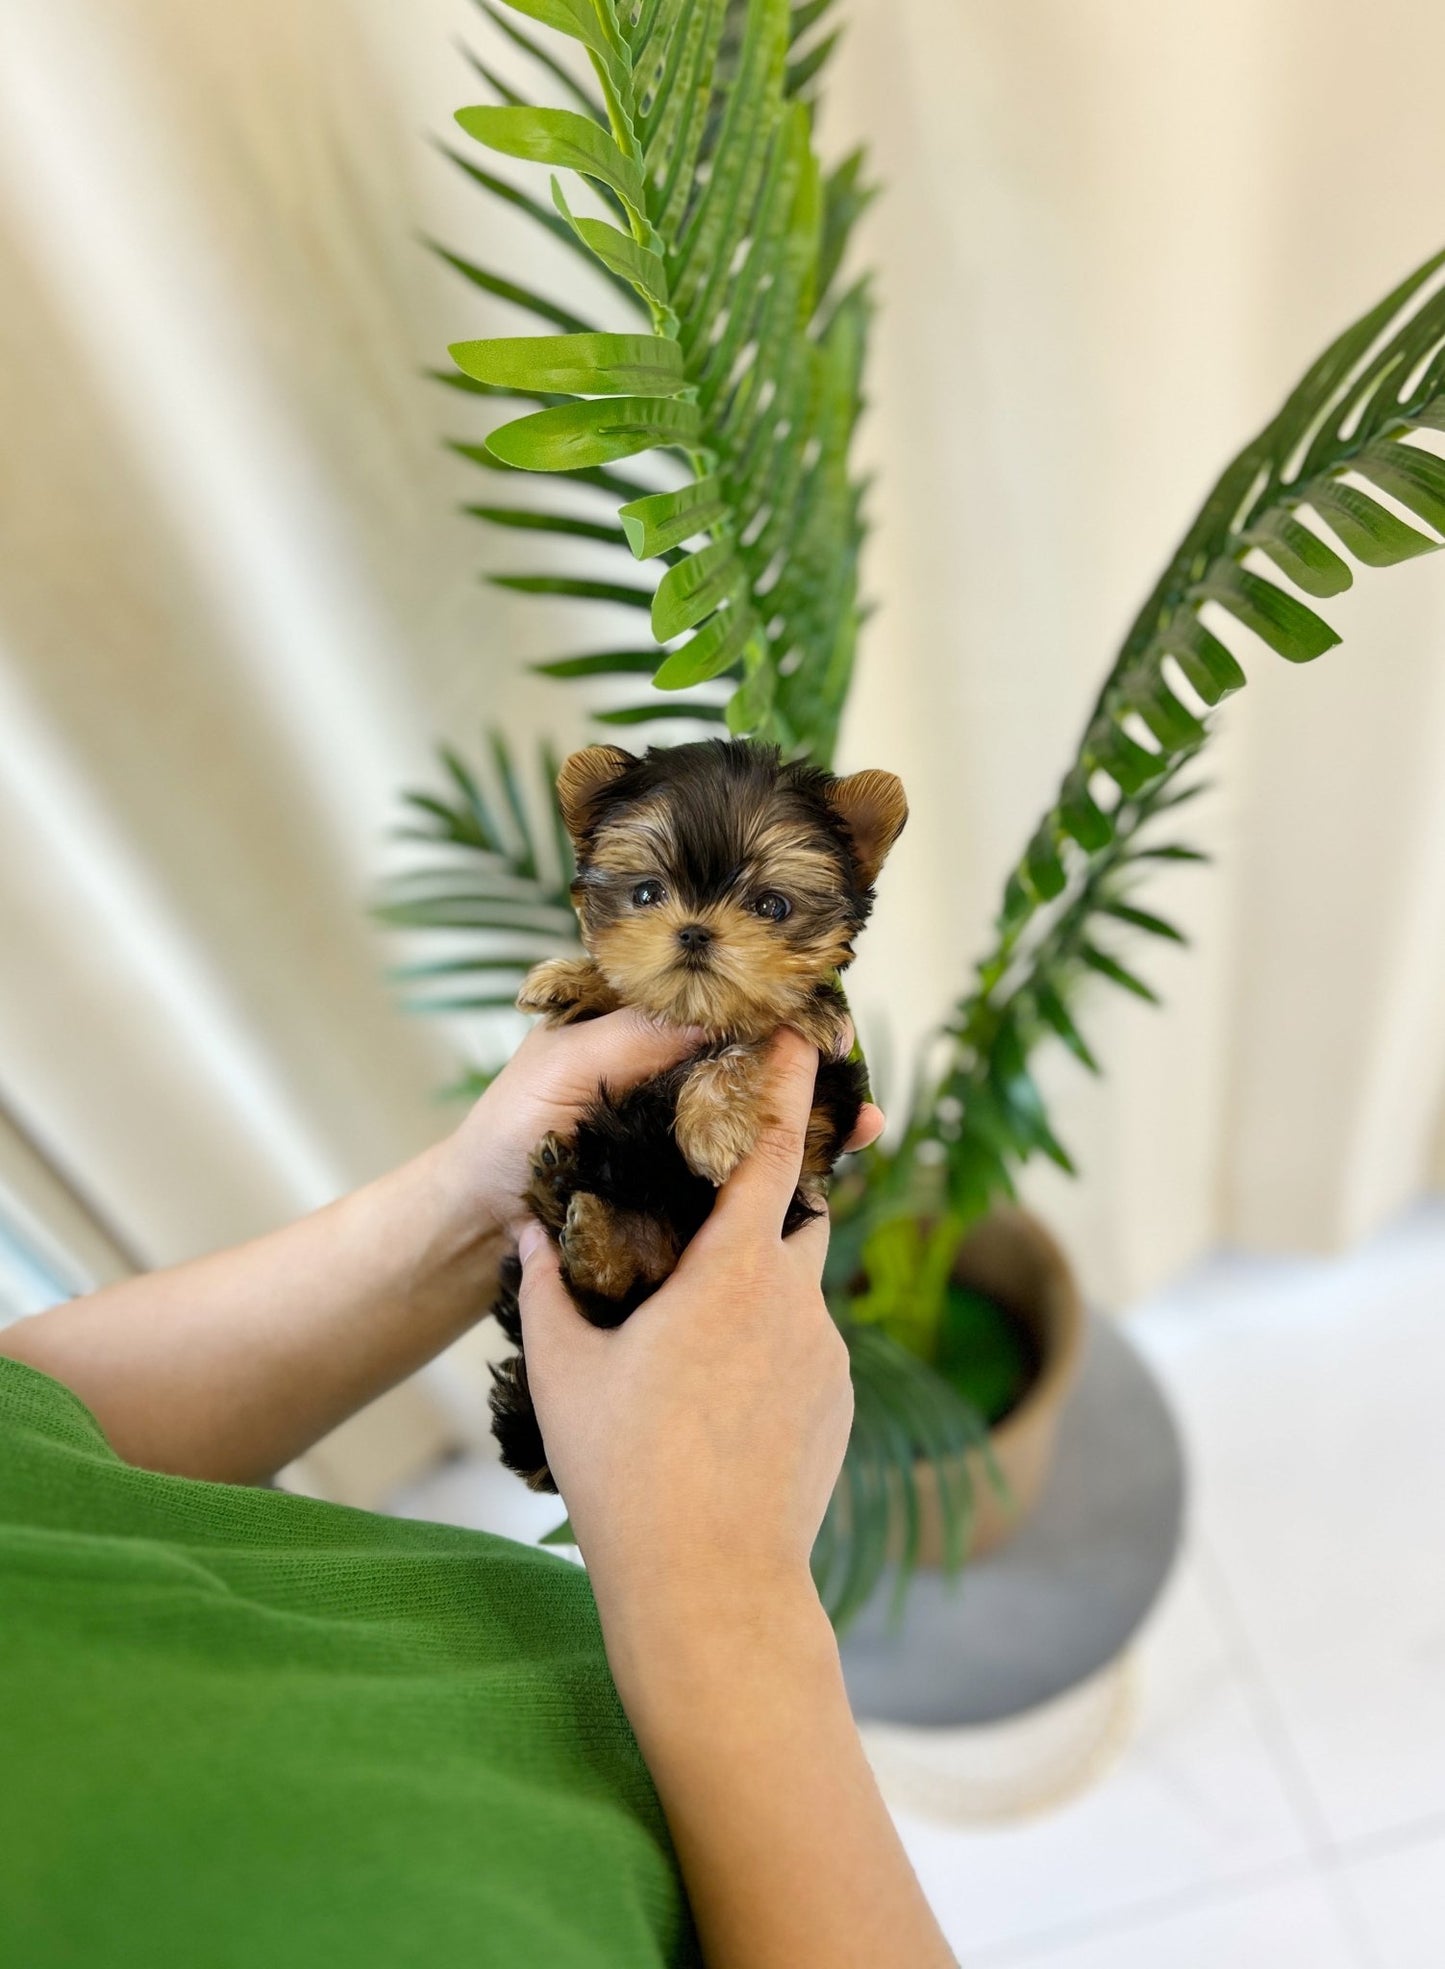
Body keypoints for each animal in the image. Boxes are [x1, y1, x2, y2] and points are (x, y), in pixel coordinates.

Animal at [492, 740, 909, 1488]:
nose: (693, 931)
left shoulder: (824, 1080)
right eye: (646, 894)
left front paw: (712, 1124)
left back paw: (585, 1224)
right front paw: (571, 980)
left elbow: (756, 1037)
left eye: (771, 905)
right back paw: (563, 1194)